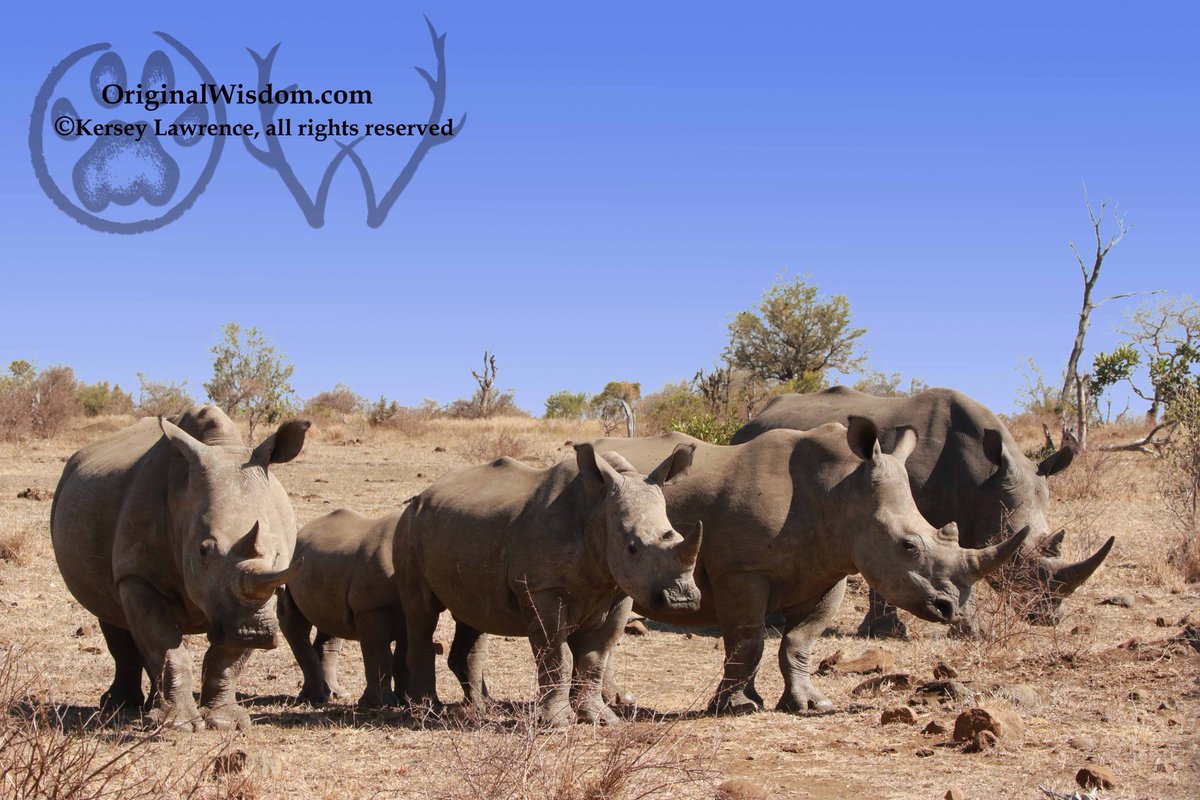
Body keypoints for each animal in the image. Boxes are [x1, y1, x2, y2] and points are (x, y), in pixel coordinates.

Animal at [50, 406, 309, 731]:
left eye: (277, 554)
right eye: (203, 551)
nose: (254, 633)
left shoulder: (271, 585)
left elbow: (226, 657)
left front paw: (224, 721)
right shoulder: (137, 576)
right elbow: (166, 646)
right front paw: (178, 725)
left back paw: (148, 705)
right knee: (110, 613)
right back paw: (119, 706)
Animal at [278, 509, 406, 708]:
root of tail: (301, 532)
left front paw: (402, 700)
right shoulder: (370, 608)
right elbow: (379, 653)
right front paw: (379, 704)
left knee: (330, 624)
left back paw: (334, 694)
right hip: (288, 569)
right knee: (296, 625)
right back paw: (316, 698)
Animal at [393, 443, 703, 726]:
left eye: (676, 535)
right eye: (632, 548)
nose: (682, 600)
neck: (598, 509)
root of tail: (423, 494)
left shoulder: (618, 591)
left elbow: (596, 657)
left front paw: (601, 719)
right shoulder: (542, 589)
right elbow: (557, 653)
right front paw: (557, 722)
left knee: (473, 613)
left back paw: (481, 709)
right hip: (408, 526)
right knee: (422, 614)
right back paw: (427, 710)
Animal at [454, 420, 1028, 715]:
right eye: (908, 546)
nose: (949, 609)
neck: (841, 491)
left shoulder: (832, 569)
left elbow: (799, 642)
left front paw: (809, 704)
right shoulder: (742, 572)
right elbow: (747, 640)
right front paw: (738, 706)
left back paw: (617, 702)